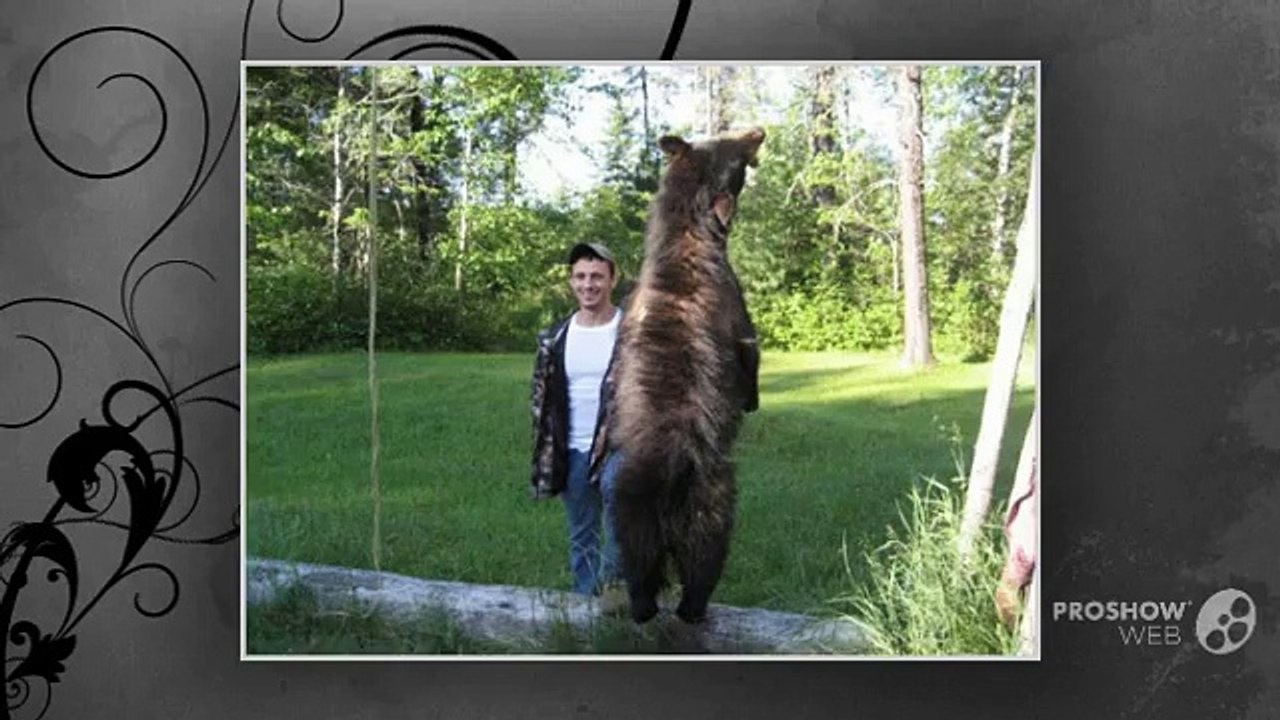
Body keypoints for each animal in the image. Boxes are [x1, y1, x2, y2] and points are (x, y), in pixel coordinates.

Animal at [608, 127, 765, 625]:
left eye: (722, 134)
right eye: (733, 149)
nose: (759, 130)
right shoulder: (736, 309)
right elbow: (751, 353)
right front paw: (753, 396)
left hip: (629, 506)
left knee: (637, 561)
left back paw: (641, 606)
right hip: (711, 501)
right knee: (704, 560)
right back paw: (693, 608)